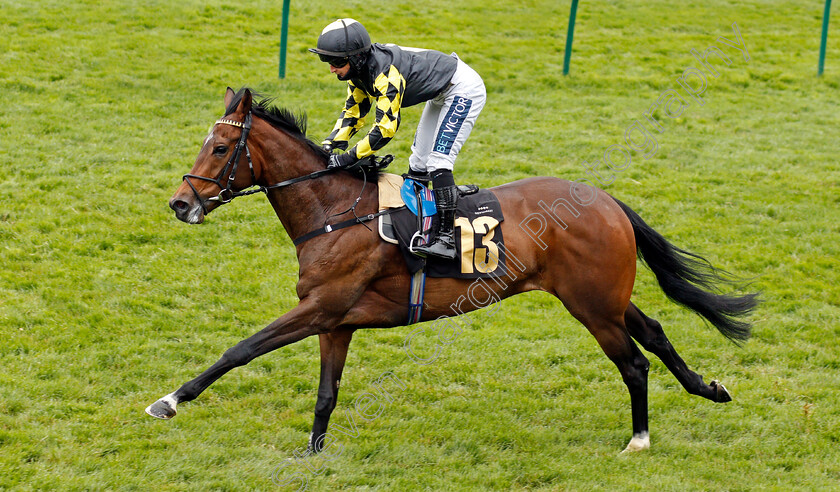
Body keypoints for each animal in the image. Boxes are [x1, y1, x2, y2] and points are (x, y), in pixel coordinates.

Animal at [148, 88, 756, 454]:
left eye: (220, 147)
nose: (180, 203)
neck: (333, 210)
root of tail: (607, 201)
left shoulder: (320, 308)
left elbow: (241, 349)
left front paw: (169, 401)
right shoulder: (336, 321)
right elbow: (326, 394)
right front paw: (313, 454)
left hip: (592, 306)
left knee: (633, 362)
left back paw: (640, 440)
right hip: (607, 295)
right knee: (655, 332)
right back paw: (710, 389)